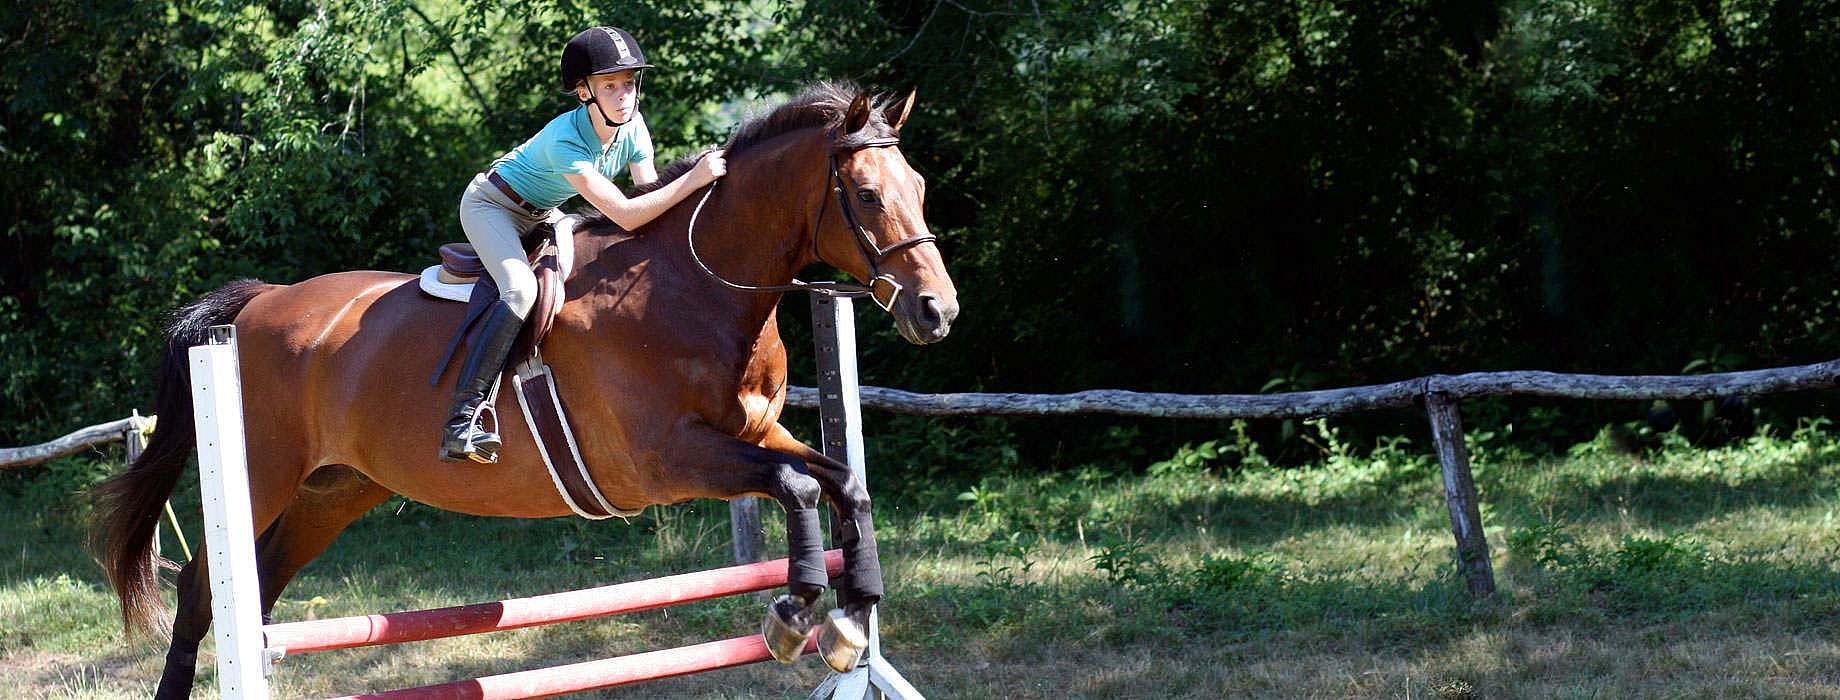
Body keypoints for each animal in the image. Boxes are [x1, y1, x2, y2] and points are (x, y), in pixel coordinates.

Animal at [89, 84, 964, 696]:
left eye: (919, 185)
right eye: (867, 195)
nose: (938, 311)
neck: (696, 285)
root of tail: (259, 303)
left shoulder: (752, 433)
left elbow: (840, 481)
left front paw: (852, 619)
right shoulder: (666, 461)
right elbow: (797, 487)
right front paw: (793, 614)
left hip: (331, 492)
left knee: (258, 591)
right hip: (263, 475)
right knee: (204, 591)